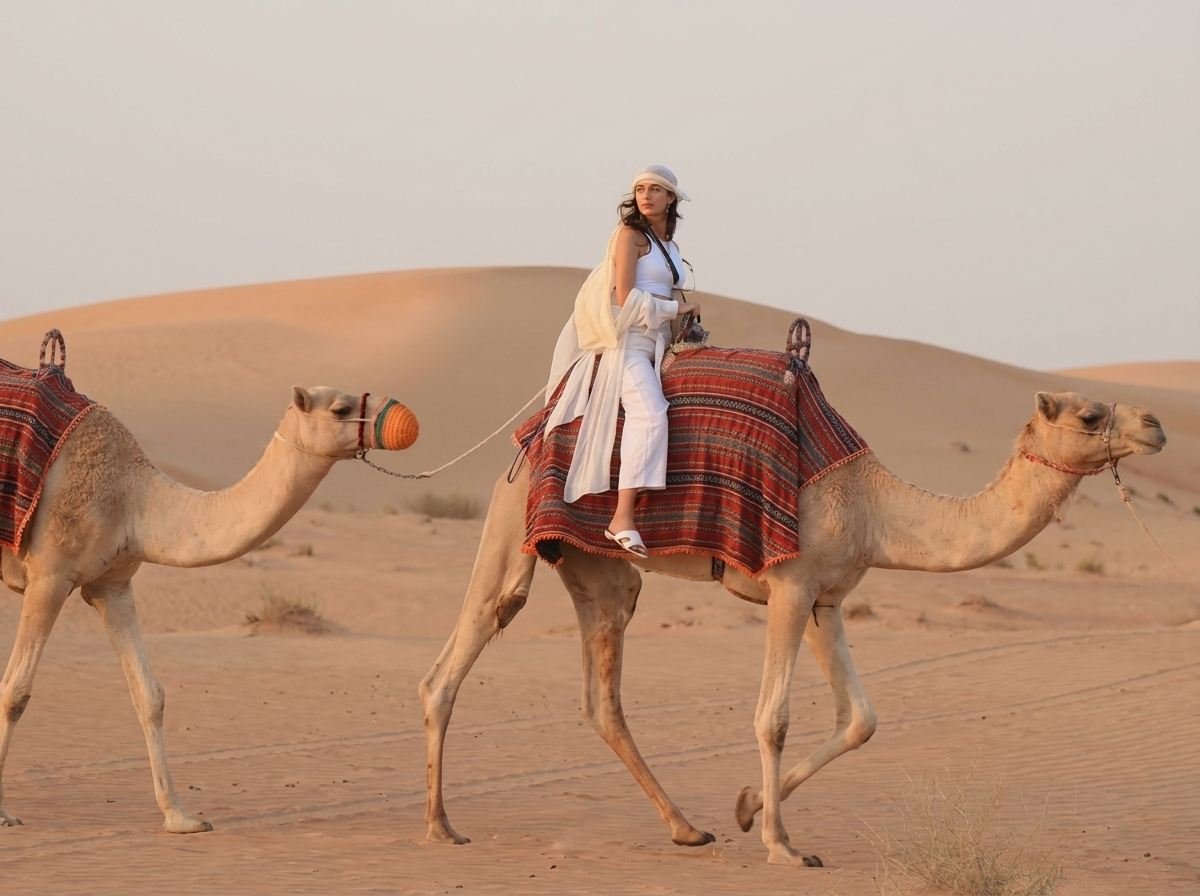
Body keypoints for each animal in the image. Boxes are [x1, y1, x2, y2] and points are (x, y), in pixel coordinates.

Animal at [0, 385, 417, 832]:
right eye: (340, 408)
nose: (404, 419)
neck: (134, 499)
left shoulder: (111, 585)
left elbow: (150, 695)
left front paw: (180, 816)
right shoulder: (50, 577)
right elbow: (15, 691)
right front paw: (3, 813)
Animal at [420, 390, 1165, 866]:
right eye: (1090, 413)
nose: (1156, 425)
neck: (875, 507)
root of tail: (530, 433)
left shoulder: (825, 600)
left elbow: (861, 718)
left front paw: (749, 807)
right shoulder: (790, 583)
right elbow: (772, 717)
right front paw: (782, 844)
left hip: (596, 566)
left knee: (602, 683)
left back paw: (687, 830)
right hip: (514, 516)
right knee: (463, 649)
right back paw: (440, 827)